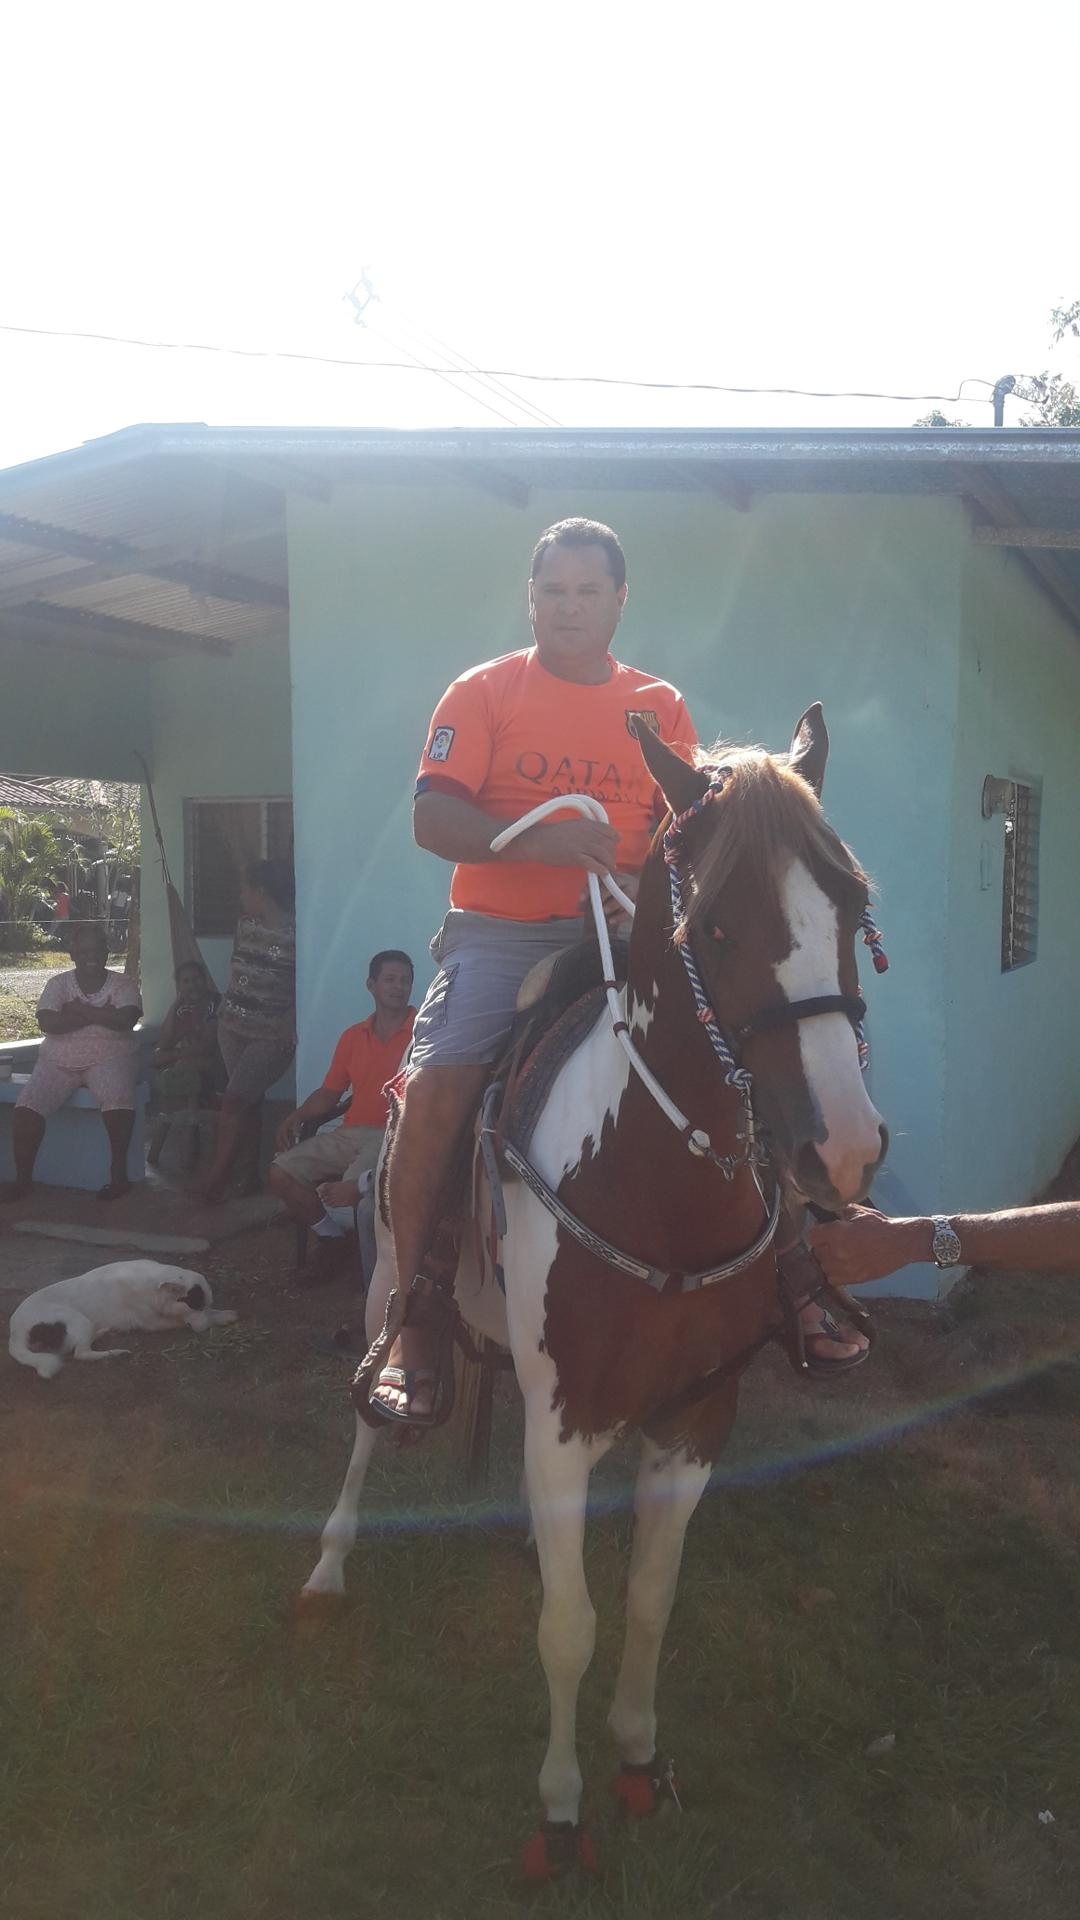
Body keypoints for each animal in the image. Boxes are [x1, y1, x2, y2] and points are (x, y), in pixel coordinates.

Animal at [8, 1259, 237, 1379]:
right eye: (194, 1305)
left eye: (203, 1304)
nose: (205, 1331)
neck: (154, 1286)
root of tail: (16, 1331)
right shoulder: (153, 1322)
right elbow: (182, 1320)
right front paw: (218, 1318)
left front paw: (224, 1314)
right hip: (78, 1320)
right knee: (82, 1353)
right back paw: (115, 1353)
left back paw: (104, 1332)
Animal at [300, 703, 888, 1877]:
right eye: (716, 927)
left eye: (851, 903)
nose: (840, 1150)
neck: (653, 1181)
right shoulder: (565, 1415)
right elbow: (568, 1628)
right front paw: (560, 1813)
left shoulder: (698, 1416)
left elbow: (648, 1604)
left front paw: (639, 1762)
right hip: (389, 1275)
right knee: (366, 1417)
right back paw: (335, 1558)